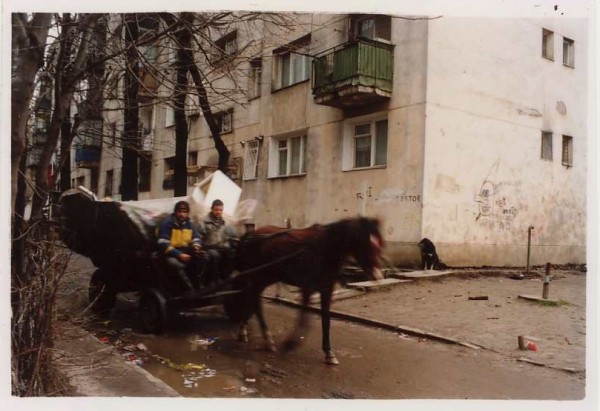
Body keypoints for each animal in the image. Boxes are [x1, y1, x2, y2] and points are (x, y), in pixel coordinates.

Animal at [225, 217, 384, 366]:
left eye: (379, 243)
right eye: (364, 242)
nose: (378, 275)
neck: (324, 249)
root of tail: (249, 235)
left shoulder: (326, 290)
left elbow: (326, 320)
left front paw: (329, 353)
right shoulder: (308, 288)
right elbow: (304, 320)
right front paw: (290, 344)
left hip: (264, 278)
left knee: (252, 298)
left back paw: (250, 333)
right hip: (259, 277)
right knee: (253, 300)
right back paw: (262, 337)